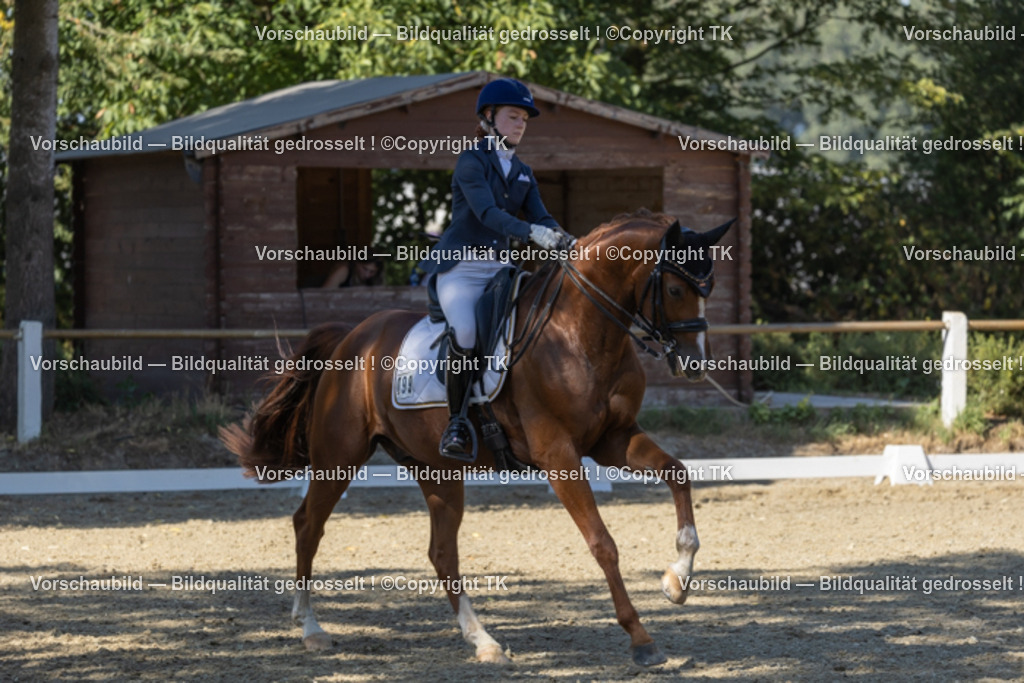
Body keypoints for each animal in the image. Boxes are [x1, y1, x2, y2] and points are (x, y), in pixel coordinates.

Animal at [220, 210, 733, 667]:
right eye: (674, 288)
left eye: (707, 290)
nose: (694, 364)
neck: (581, 332)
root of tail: (352, 336)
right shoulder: (558, 453)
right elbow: (602, 542)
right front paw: (641, 639)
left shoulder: (613, 438)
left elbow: (678, 475)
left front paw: (677, 580)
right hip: (339, 454)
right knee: (308, 523)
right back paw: (310, 627)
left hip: (436, 467)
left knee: (441, 552)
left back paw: (483, 641)